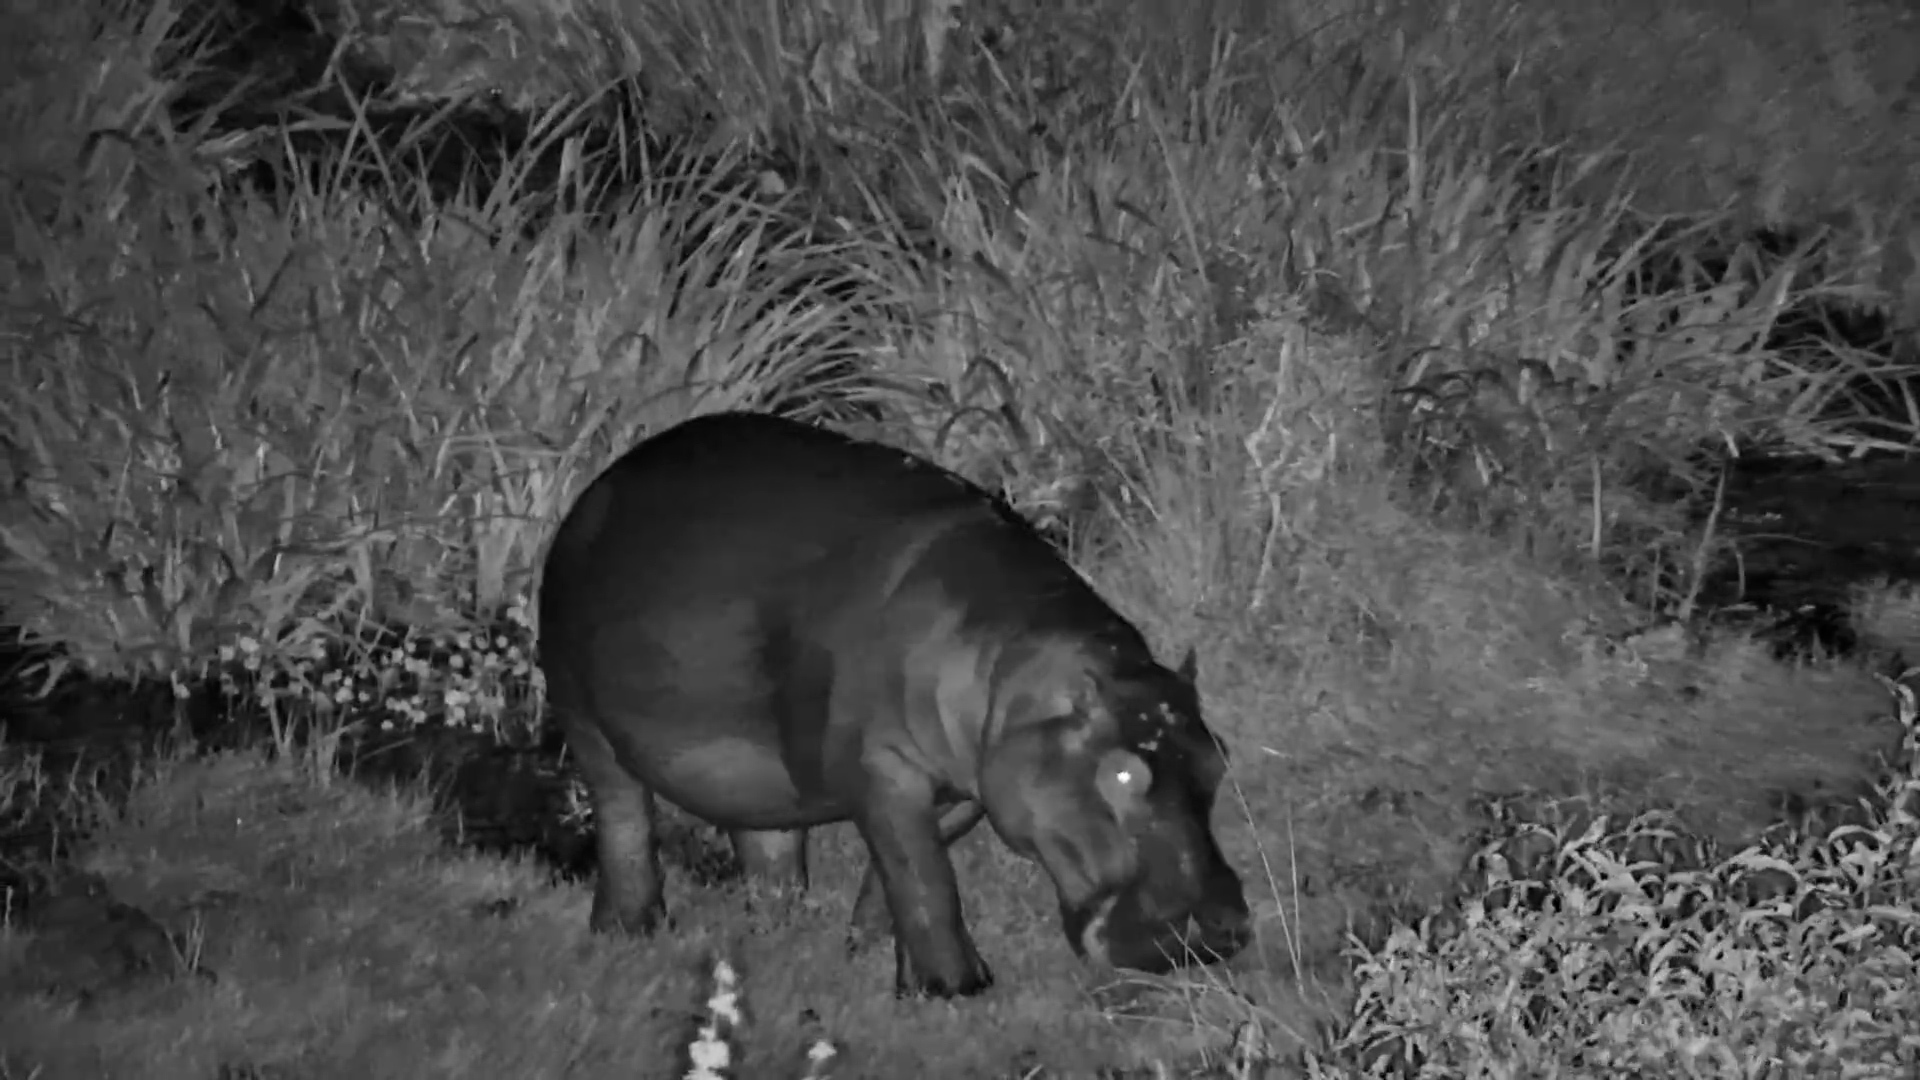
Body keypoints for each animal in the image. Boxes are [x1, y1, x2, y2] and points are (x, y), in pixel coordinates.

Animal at [536, 411, 1252, 998]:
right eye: (1123, 772)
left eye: (1219, 757)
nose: (1219, 929)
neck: (1015, 670)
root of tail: (598, 488)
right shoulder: (882, 766)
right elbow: (925, 878)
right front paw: (959, 990)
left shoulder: (966, 789)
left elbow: (899, 875)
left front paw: (871, 959)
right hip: (583, 714)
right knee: (624, 819)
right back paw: (629, 930)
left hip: (754, 773)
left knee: (766, 844)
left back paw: (780, 934)